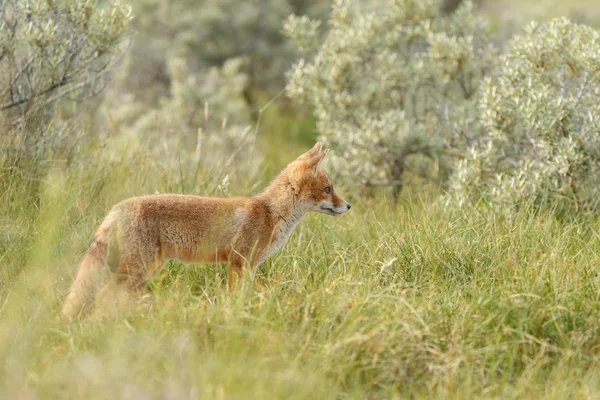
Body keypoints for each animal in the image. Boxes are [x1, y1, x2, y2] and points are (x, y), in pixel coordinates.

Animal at [59, 142, 352, 318]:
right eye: (328, 189)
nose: (348, 205)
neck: (270, 213)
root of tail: (115, 208)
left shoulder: (248, 265)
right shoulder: (239, 261)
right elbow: (235, 297)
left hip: (143, 271)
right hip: (136, 271)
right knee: (106, 297)